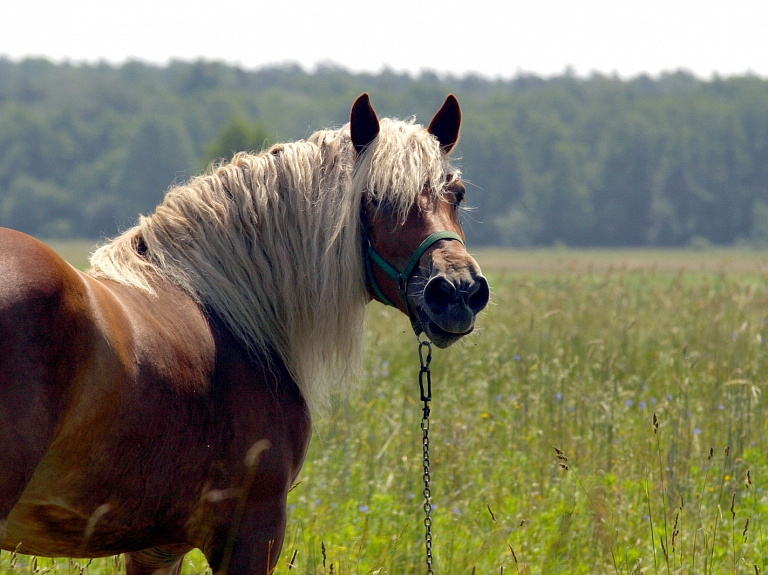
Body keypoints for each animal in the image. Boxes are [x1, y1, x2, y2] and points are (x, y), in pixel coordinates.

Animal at [0, 94, 488, 575]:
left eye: (458, 194)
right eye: (376, 199)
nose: (458, 291)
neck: (228, 312)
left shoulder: (157, 549)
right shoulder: (253, 534)